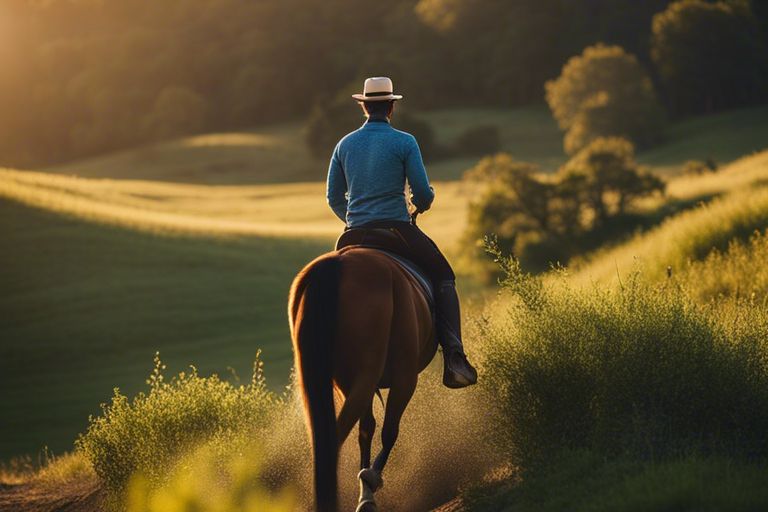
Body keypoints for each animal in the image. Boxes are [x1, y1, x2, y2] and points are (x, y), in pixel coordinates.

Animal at [288, 246, 436, 510]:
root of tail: (337, 264)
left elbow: (368, 430)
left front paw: (367, 485)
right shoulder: (405, 377)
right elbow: (389, 431)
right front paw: (371, 479)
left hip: (348, 381)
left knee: (336, 437)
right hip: (370, 376)